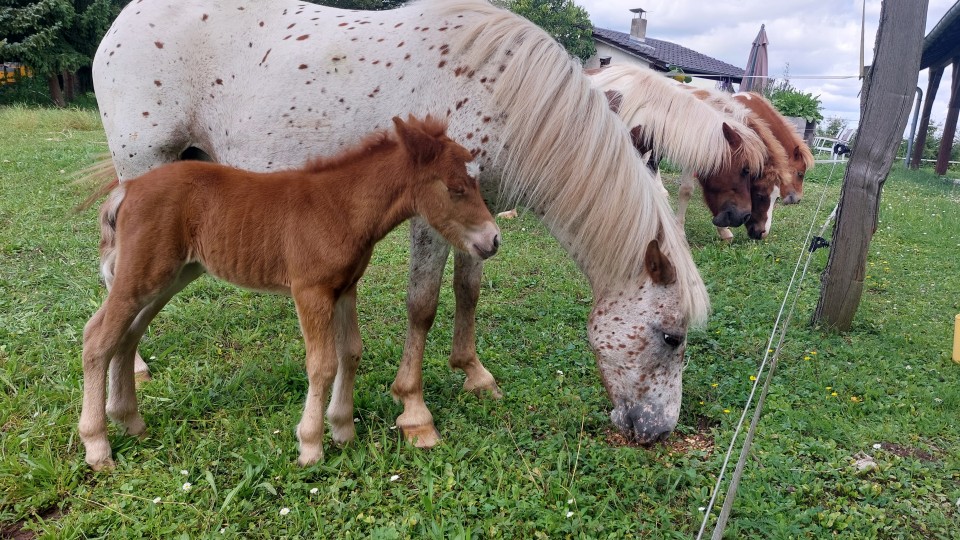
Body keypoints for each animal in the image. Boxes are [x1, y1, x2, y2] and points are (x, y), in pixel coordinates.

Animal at [77, 117, 502, 468]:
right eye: (456, 188)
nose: (493, 239)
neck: (340, 206)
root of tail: (128, 188)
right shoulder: (310, 291)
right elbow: (322, 364)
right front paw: (311, 445)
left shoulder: (345, 289)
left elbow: (350, 352)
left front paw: (343, 430)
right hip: (144, 276)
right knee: (98, 338)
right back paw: (97, 446)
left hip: (171, 277)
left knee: (126, 335)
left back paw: (130, 421)